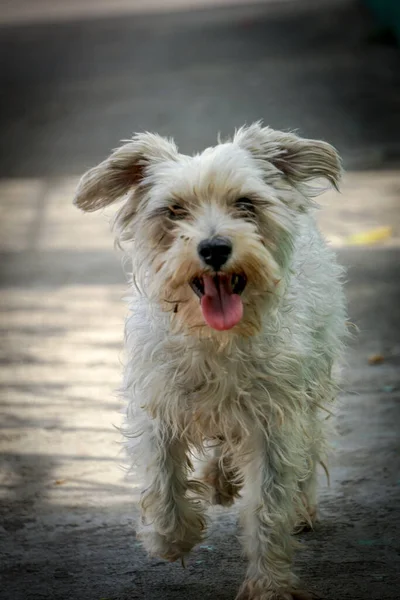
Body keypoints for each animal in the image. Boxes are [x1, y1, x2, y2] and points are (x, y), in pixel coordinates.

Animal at [74, 123, 346, 600]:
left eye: (245, 204)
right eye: (174, 210)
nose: (215, 247)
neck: (217, 339)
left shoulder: (276, 421)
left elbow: (268, 504)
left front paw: (270, 583)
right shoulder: (158, 406)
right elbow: (163, 481)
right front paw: (171, 538)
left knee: (308, 447)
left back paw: (295, 503)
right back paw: (219, 480)